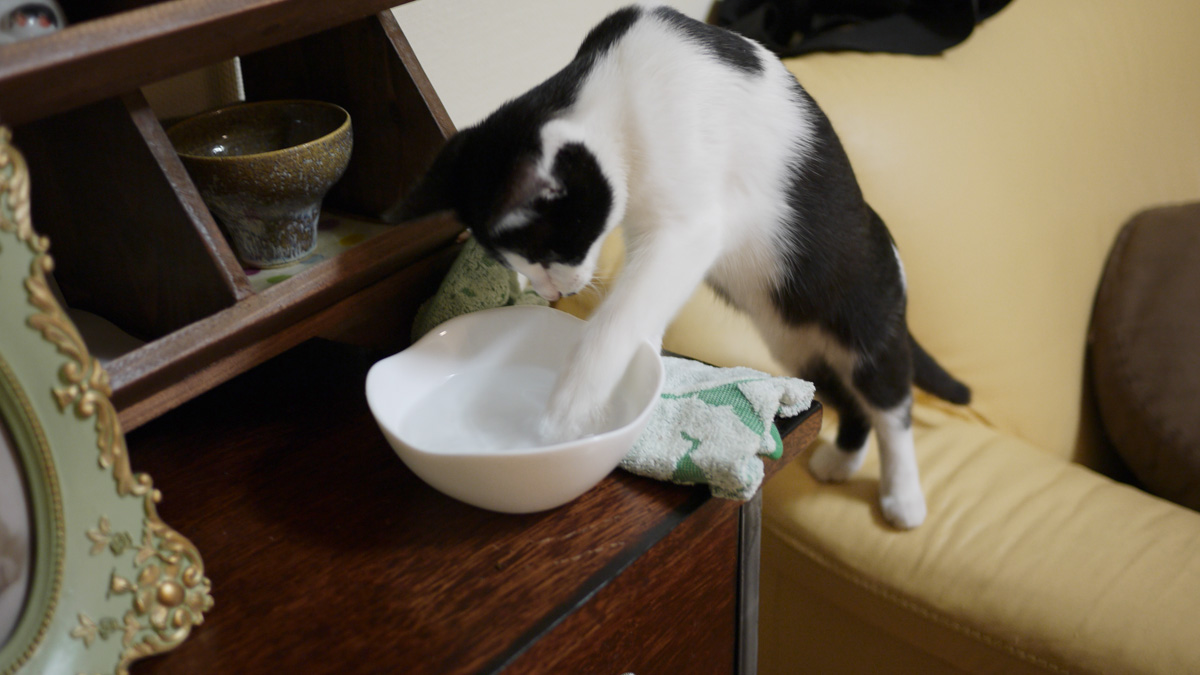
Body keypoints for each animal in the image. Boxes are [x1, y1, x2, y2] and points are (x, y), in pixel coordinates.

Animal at [395, 2, 970, 529]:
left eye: (549, 253)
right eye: (515, 262)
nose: (555, 294)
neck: (615, 83)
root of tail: (888, 252)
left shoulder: (688, 227)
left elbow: (619, 316)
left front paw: (563, 415)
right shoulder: (645, 227)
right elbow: (643, 302)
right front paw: (643, 366)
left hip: (863, 323)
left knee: (890, 404)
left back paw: (903, 496)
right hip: (799, 344)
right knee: (850, 401)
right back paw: (843, 460)